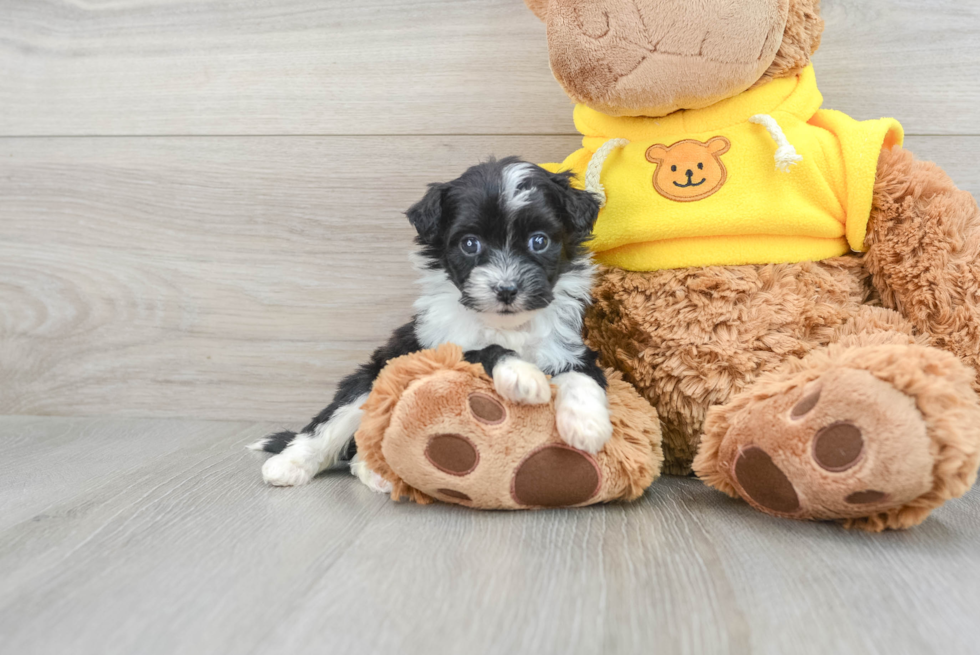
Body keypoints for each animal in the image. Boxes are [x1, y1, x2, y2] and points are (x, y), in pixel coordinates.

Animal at [247, 156, 612, 490]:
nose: (507, 289)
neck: (506, 326)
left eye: (539, 241)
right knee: (330, 426)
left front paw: (588, 425)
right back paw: (289, 465)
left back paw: (375, 472)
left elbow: (582, 377)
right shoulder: (437, 350)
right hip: (368, 381)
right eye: (470, 244)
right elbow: (485, 350)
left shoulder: (568, 347)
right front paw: (523, 375)